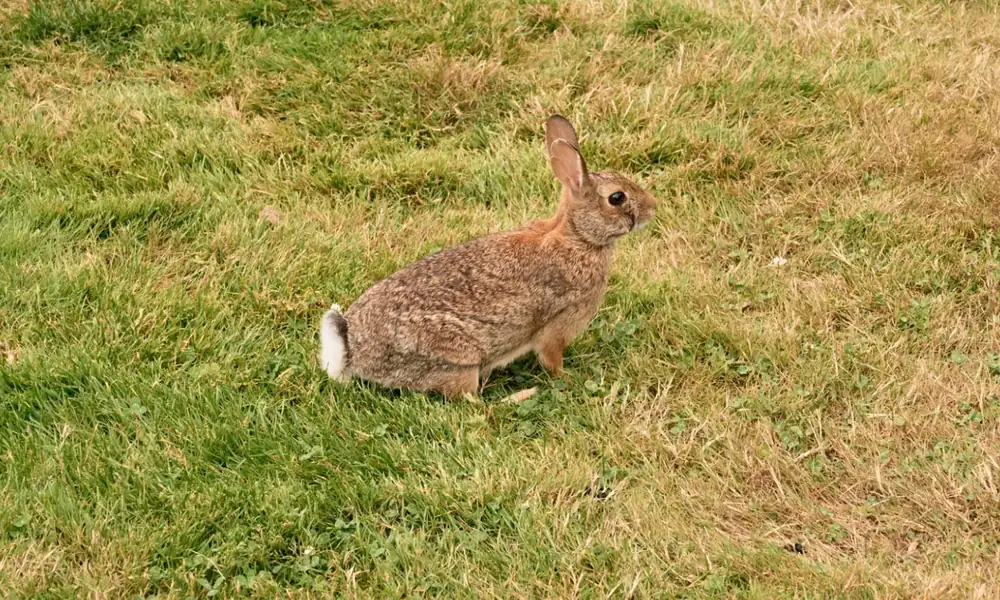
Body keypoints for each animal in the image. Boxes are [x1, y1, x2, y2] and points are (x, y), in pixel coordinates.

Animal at [320, 114, 656, 398]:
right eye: (616, 198)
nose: (652, 207)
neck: (578, 238)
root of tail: (353, 352)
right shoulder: (557, 324)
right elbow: (551, 360)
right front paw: (570, 379)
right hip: (457, 358)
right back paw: (521, 396)